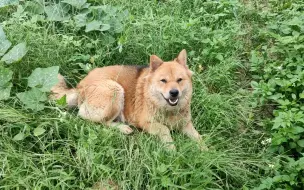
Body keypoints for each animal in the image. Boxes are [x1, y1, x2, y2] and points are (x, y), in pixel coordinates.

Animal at [51, 49, 205, 150]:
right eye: (163, 81)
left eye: (180, 80)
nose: (174, 93)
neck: (168, 110)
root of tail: (80, 86)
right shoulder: (146, 123)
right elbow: (165, 129)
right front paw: (171, 149)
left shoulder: (186, 124)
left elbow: (199, 138)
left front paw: (206, 152)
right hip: (115, 89)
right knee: (96, 120)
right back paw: (123, 128)